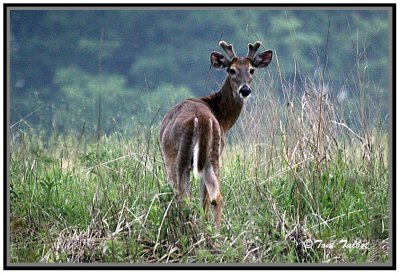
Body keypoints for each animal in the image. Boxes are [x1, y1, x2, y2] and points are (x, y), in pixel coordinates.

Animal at [159, 41, 272, 229]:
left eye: (251, 70)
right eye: (232, 70)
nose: (245, 90)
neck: (222, 119)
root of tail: (203, 119)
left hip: (177, 158)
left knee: (184, 198)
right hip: (212, 155)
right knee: (215, 197)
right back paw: (215, 232)